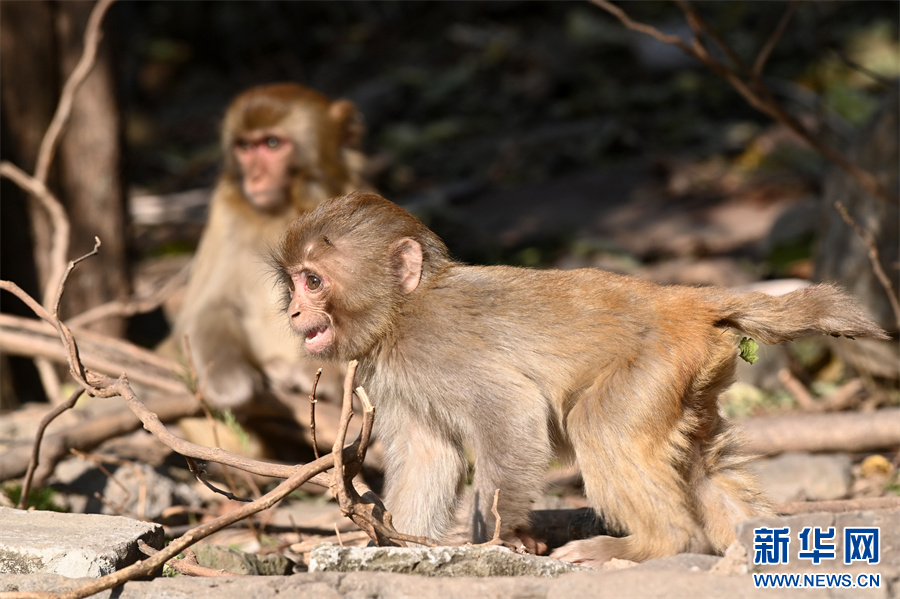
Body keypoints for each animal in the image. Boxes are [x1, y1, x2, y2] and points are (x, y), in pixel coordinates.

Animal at [163, 83, 370, 412]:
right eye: (245, 147)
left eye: (272, 144)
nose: (254, 177)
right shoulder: (226, 214)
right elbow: (207, 308)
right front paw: (228, 382)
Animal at [270, 193, 888, 568]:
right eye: (294, 283)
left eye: (313, 280)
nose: (295, 313)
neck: (399, 312)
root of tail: (684, 299)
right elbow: (428, 454)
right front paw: (401, 547)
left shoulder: (435, 349)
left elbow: (511, 414)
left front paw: (497, 539)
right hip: (692, 376)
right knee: (703, 464)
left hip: (654, 363)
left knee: (600, 424)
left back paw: (656, 543)